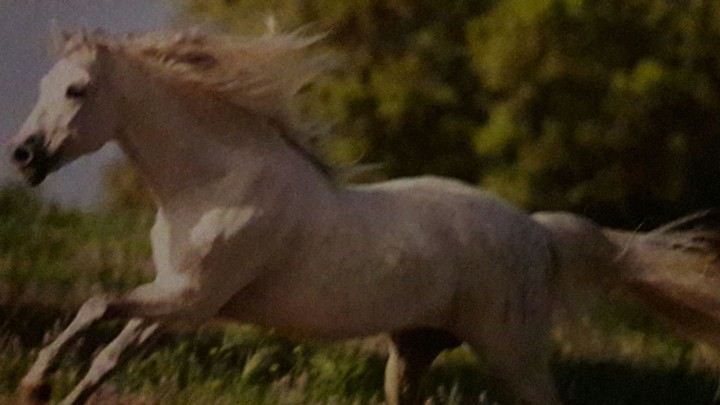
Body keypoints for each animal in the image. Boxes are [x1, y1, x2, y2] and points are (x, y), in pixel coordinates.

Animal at [7, 29, 720, 405]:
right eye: (42, 87)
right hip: (413, 351)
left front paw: (34, 383)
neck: (212, 183)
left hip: (512, 356)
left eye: (76, 90)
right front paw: (46, 390)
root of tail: (539, 233)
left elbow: (95, 304)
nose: (22, 154)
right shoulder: (180, 306)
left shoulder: (187, 298)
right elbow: (107, 353)